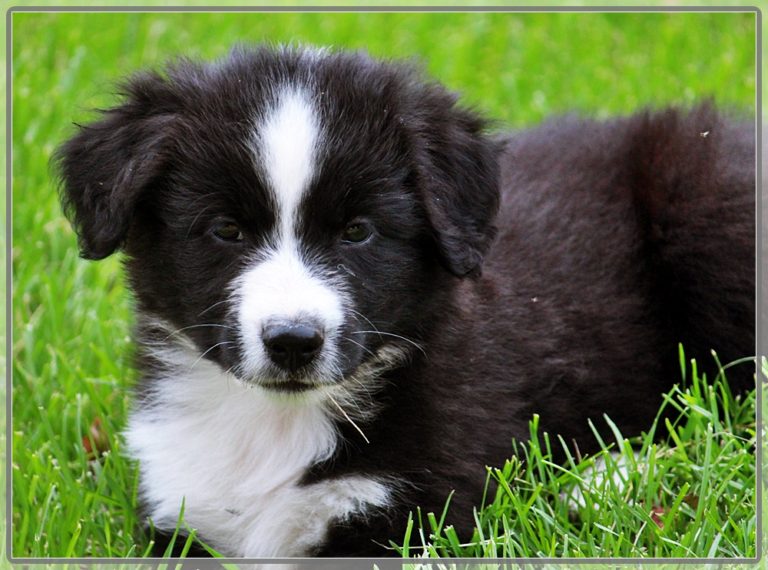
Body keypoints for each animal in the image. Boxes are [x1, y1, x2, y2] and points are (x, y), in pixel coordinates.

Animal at [55, 45, 756, 556]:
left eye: (358, 231)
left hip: (707, 200)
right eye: (225, 229)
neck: (276, 423)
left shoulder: (415, 511)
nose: (293, 342)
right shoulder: (179, 513)